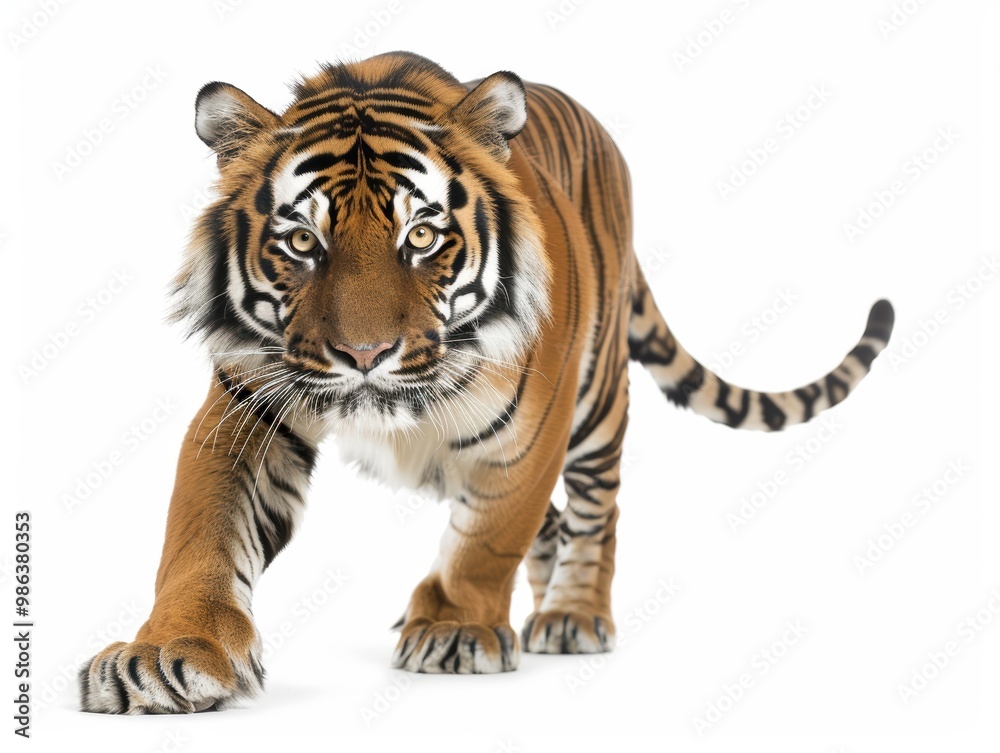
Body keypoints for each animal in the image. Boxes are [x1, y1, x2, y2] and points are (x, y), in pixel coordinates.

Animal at [79, 51, 894, 714]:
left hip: (597, 402)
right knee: (555, 522)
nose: (365, 354)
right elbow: (202, 533)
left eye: (422, 236)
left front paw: (456, 628)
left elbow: (490, 537)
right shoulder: (248, 407)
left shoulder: (532, 427)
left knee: (595, 511)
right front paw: (166, 653)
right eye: (303, 242)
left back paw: (572, 616)